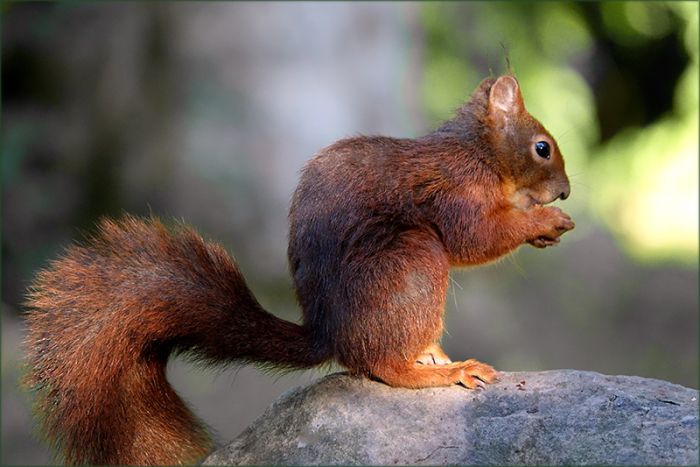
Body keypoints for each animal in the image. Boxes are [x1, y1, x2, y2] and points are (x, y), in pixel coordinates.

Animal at [24, 75, 574, 465]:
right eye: (542, 147)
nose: (567, 193)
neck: (478, 152)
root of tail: (330, 335)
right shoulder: (456, 190)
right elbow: (475, 237)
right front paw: (542, 222)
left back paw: (434, 353)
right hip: (413, 259)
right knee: (382, 366)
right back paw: (442, 371)